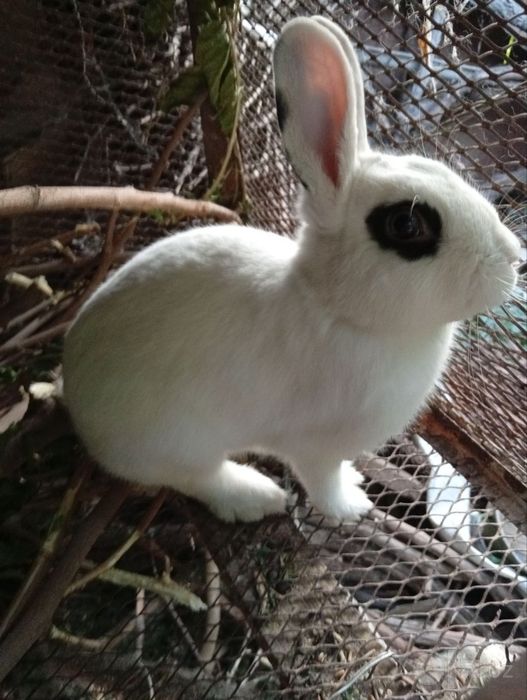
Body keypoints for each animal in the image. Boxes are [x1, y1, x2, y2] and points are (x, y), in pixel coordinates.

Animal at [62, 16, 521, 523]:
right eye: (406, 224)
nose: (513, 257)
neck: (340, 312)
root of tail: (75, 397)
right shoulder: (314, 448)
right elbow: (324, 482)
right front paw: (352, 506)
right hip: (176, 443)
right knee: (198, 477)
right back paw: (255, 498)